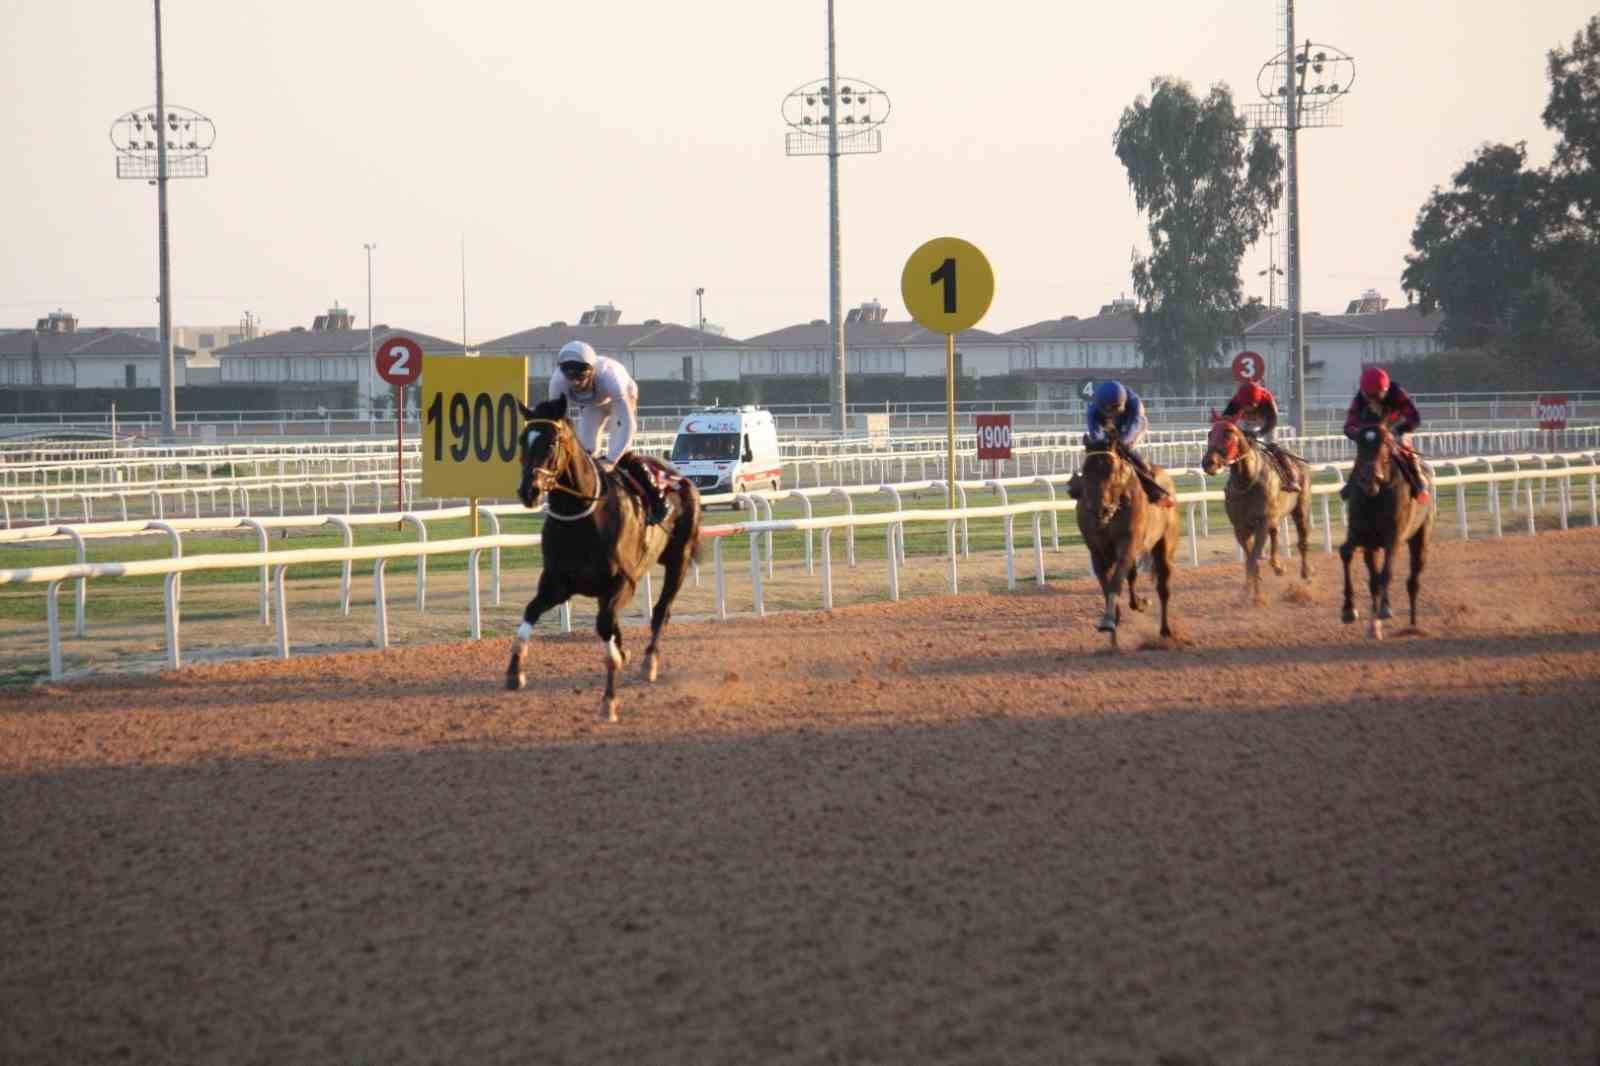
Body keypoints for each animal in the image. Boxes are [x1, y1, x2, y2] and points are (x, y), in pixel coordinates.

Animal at [502, 398, 697, 723]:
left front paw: (609, 700)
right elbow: (530, 612)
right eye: (522, 439)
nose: (528, 491)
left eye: (551, 442)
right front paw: (514, 671)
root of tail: (678, 476)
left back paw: (649, 662)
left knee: (661, 610)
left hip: (678, 560)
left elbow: (606, 630)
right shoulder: (556, 584)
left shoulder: (623, 582)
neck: (582, 517)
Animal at [1068, 435, 1184, 646]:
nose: (1100, 509)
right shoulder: (1097, 552)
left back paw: (1165, 630)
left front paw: (1109, 620)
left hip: (1165, 545)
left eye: (1112, 469)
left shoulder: (1128, 544)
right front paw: (1113, 620)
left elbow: (1116, 581)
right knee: (1132, 576)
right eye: (1086, 469)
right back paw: (1138, 604)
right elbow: (1107, 585)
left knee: (1163, 588)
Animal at [1203, 409, 1312, 601]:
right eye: (1210, 434)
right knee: (1275, 534)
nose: (1208, 463)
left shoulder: (1262, 523)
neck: (1247, 481)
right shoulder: (1240, 528)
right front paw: (1249, 589)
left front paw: (1255, 596)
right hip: (1274, 517)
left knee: (1302, 540)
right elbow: (1249, 558)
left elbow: (1253, 558)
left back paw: (1305, 573)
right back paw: (1277, 566)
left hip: (1301, 509)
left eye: (1228, 433)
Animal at [1337, 422, 1440, 640]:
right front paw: (1349, 610)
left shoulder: (1394, 537)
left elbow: (1387, 572)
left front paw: (1385, 609)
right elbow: (1346, 553)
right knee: (1374, 580)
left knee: (1413, 580)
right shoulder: (1361, 535)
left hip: (1421, 536)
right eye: (1360, 445)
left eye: (1385, 445)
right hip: (1372, 546)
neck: (1375, 497)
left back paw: (1413, 625)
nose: (1369, 479)